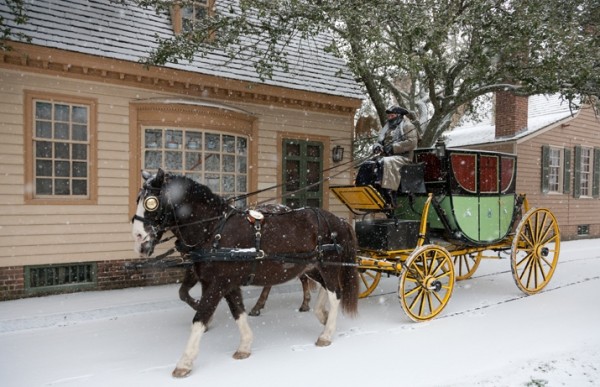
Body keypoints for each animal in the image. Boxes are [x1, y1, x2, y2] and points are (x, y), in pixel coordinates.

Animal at [131, 171, 356, 378]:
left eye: (151, 203)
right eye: (138, 200)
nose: (138, 240)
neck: (212, 230)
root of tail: (339, 220)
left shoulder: (217, 284)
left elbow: (200, 317)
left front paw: (185, 362)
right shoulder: (227, 283)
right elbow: (238, 312)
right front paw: (245, 346)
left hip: (328, 266)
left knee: (336, 293)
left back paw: (326, 334)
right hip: (312, 267)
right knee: (327, 288)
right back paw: (322, 315)